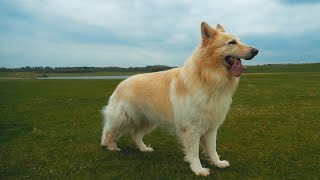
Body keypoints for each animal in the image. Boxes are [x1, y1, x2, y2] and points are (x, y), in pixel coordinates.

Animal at [101, 21, 258, 176]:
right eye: (231, 42)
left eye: (239, 40)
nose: (256, 51)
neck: (208, 77)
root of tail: (121, 83)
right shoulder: (192, 129)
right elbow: (194, 152)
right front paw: (198, 169)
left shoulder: (211, 128)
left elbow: (212, 149)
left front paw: (217, 163)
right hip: (124, 119)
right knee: (110, 133)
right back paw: (112, 148)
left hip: (148, 121)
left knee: (135, 136)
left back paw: (144, 149)